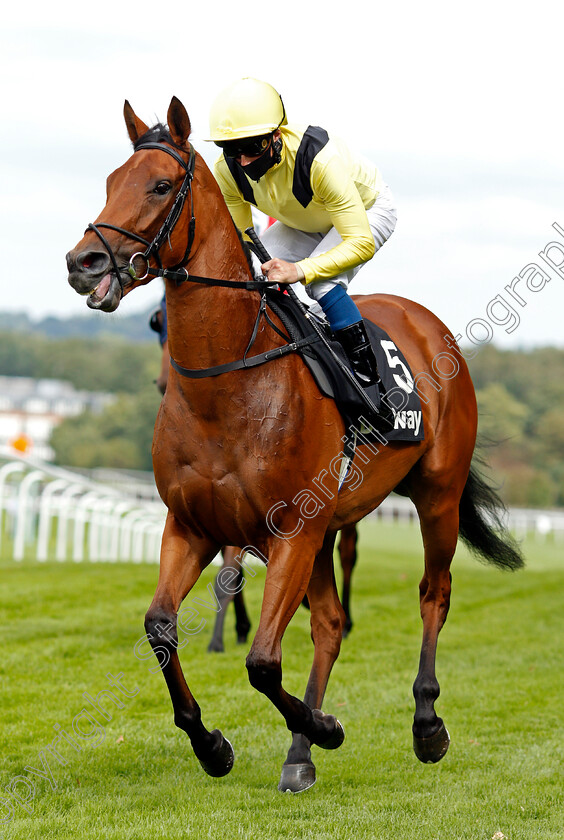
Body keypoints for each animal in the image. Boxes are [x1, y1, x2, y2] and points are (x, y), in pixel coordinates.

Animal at [66, 98, 524, 796]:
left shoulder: (290, 531)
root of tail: (428, 322)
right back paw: (300, 752)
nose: (83, 262)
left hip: (435, 495)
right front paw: (214, 744)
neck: (227, 385)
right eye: (111, 179)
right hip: (330, 526)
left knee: (433, 593)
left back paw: (424, 723)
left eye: (161, 186)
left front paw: (327, 727)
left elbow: (261, 661)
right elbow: (161, 629)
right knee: (329, 625)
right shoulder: (194, 526)